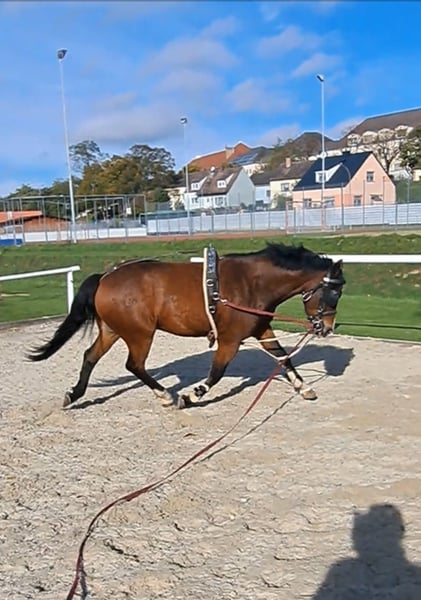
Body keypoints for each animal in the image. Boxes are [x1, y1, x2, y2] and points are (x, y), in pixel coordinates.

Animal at [28, 243, 345, 409]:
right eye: (334, 292)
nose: (327, 327)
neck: (250, 283)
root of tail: (106, 276)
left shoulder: (261, 331)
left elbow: (284, 358)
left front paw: (304, 387)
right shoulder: (230, 340)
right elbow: (216, 372)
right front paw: (192, 395)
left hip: (113, 330)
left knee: (90, 357)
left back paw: (75, 393)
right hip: (140, 334)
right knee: (134, 365)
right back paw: (165, 394)